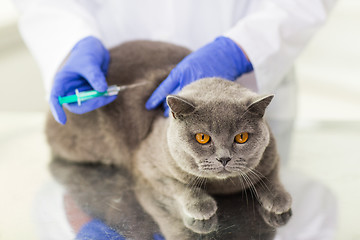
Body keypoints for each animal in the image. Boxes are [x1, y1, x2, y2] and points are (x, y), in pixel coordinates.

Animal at [45, 40, 292, 239]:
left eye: (241, 137)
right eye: (203, 138)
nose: (224, 158)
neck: (221, 186)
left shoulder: (272, 154)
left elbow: (271, 176)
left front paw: (279, 198)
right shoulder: (148, 166)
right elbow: (180, 185)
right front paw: (201, 205)